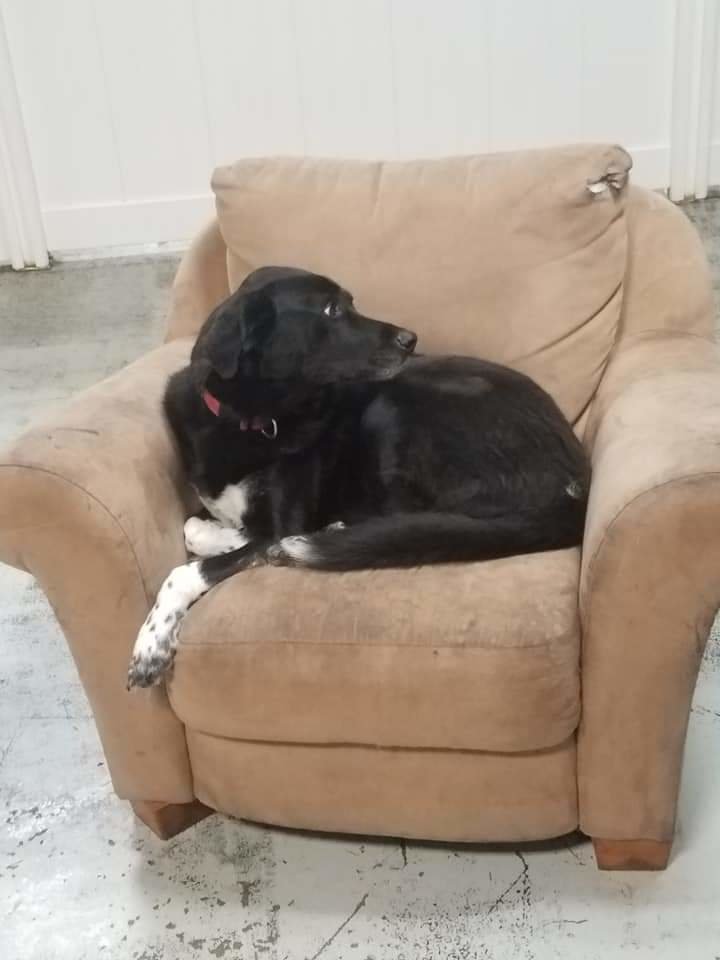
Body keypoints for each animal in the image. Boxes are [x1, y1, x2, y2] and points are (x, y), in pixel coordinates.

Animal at [128, 268, 592, 688]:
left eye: (350, 303)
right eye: (332, 309)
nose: (411, 339)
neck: (248, 418)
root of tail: (575, 487)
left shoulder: (284, 522)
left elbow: (193, 562)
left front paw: (151, 646)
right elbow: (194, 526)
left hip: (396, 412)